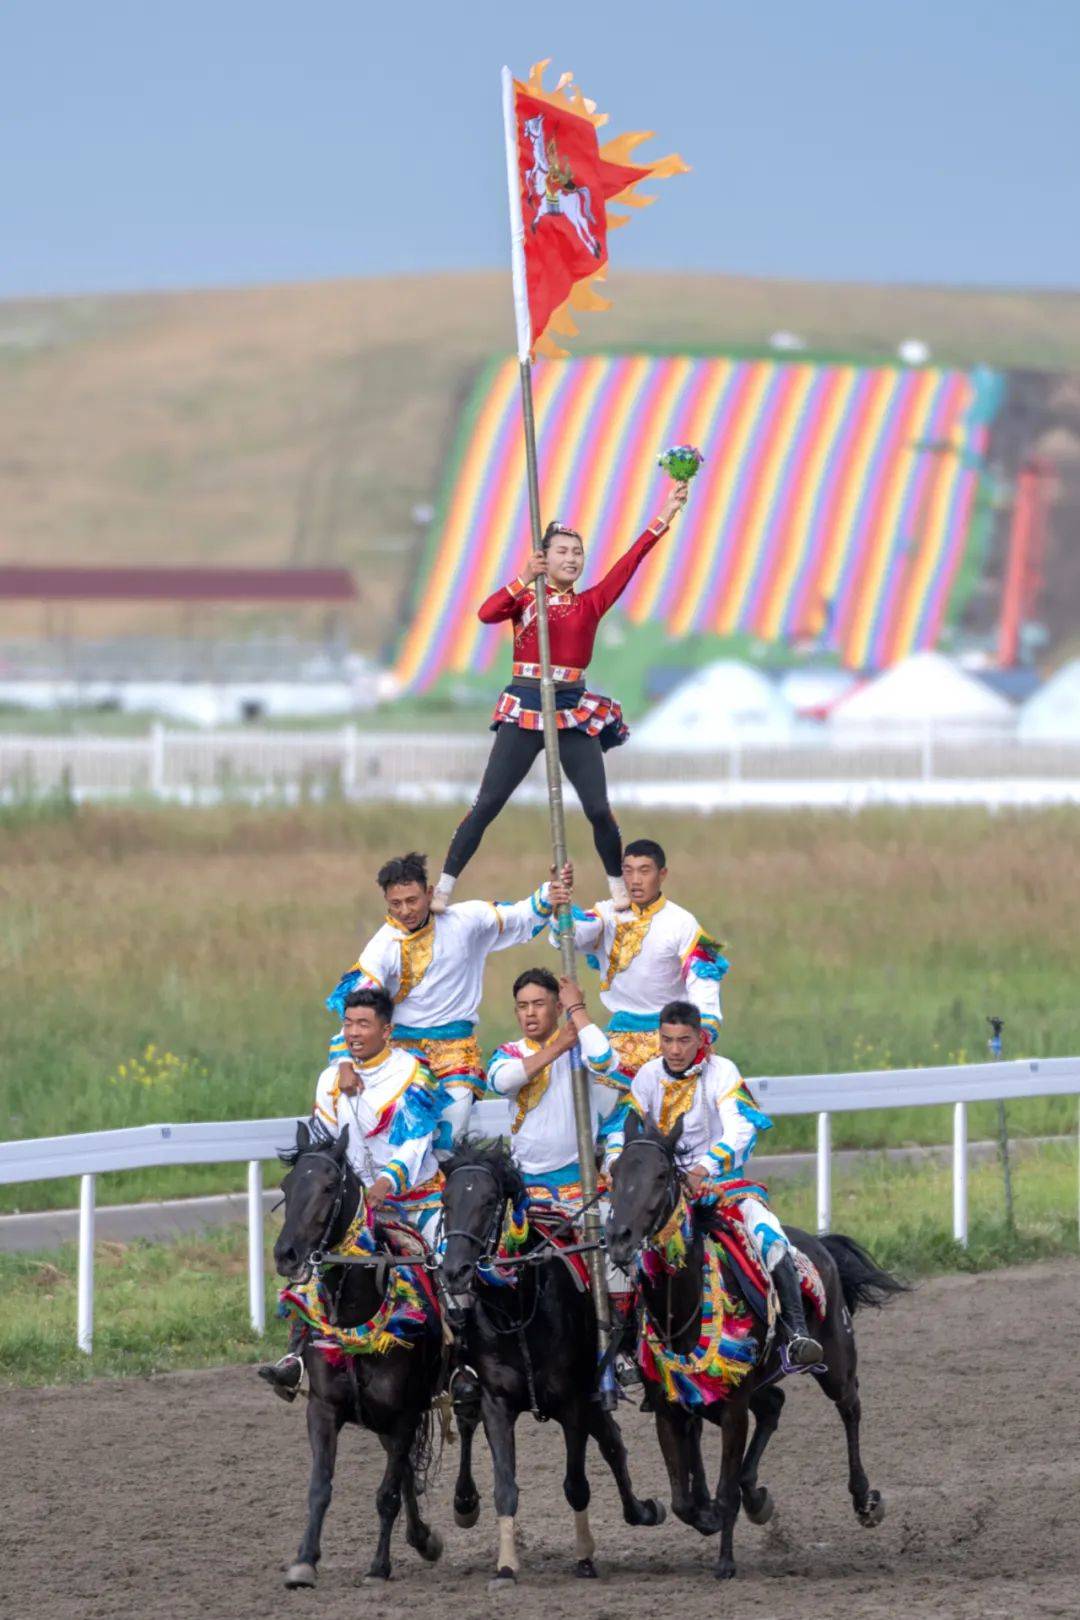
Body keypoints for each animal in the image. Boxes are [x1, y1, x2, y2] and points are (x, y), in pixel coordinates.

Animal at [270, 1121, 446, 1587]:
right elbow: (320, 1487)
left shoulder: (405, 1415)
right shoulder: (324, 1409)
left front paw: (378, 1566)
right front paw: (304, 1560)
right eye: (287, 1185)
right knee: (406, 1470)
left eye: (330, 1186)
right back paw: (423, 1538)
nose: (286, 1254)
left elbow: (386, 1494)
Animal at [440, 1140, 667, 1581]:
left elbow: (577, 1483)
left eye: (489, 1200)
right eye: (446, 1200)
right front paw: (506, 1565)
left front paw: (585, 1556)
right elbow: (505, 1487)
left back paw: (642, 1510)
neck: (518, 1309)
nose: (454, 1270)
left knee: (612, 1445)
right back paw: (464, 1502)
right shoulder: (497, 1402)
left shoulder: (574, 1401)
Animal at [608, 1121, 906, 1574]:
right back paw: (757, 1497)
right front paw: (710, 1516)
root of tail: (820, 1245)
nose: (619, 1237)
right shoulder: (670, 1407)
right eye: (614, 1173)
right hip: (748, 1387)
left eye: (661, 1175)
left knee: (850, 1407)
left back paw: (864, 1499)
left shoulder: (732, 1410)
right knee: (774, 1406)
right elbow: (682, 1501)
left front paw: (725, 1562)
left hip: (835, 1361)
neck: (683, 1310)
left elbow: (723, 1489)